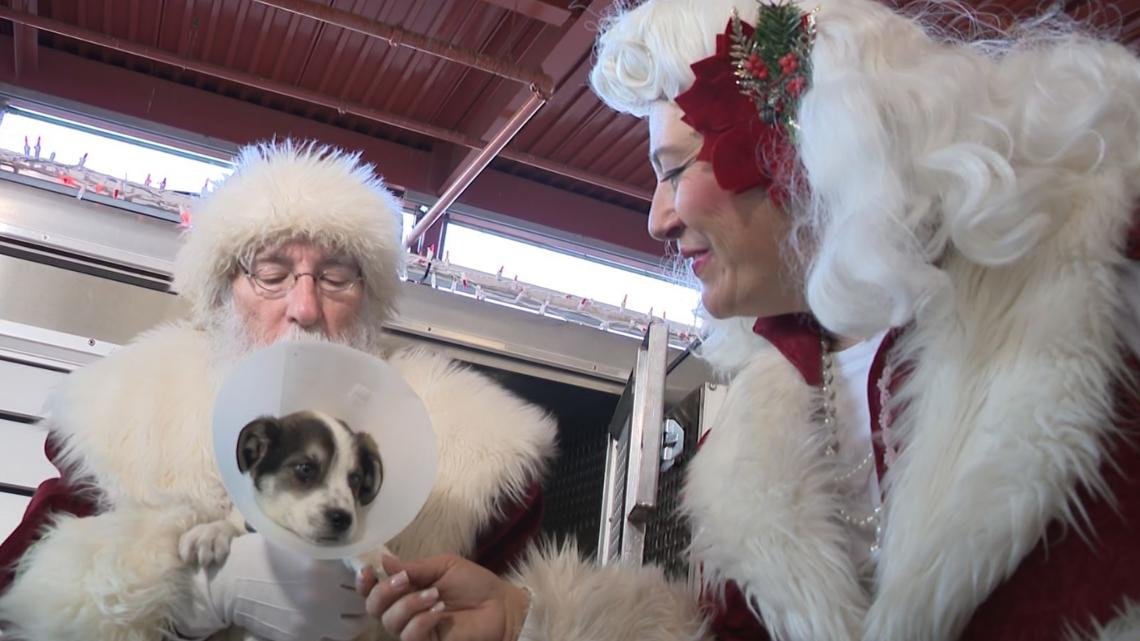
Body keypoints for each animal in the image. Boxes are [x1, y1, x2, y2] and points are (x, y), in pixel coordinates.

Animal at [177, 408, 383, 563]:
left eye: (355, 479)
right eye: (305, 468)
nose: (343, 519)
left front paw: (371, 554)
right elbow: (233, 524)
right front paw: (210, 532)